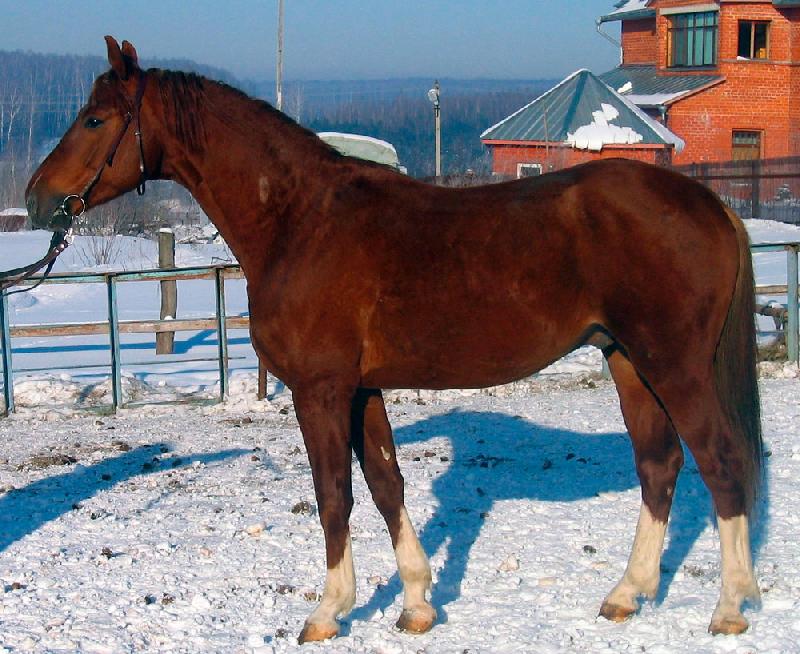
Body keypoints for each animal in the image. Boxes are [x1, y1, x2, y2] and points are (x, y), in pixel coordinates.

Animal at [25, 37, 763, 642]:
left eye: (95, 120)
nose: (36, 200)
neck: (301, 221)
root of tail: (710, 205)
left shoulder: (321, 390)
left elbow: (334, 495)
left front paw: (328, 612)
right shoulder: (362, 390)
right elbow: (386, 485)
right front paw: (416, 605)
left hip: (675, 366)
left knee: (722, 463)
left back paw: (729, 608)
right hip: (627, 360)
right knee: (659, 465)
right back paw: (626, 594)